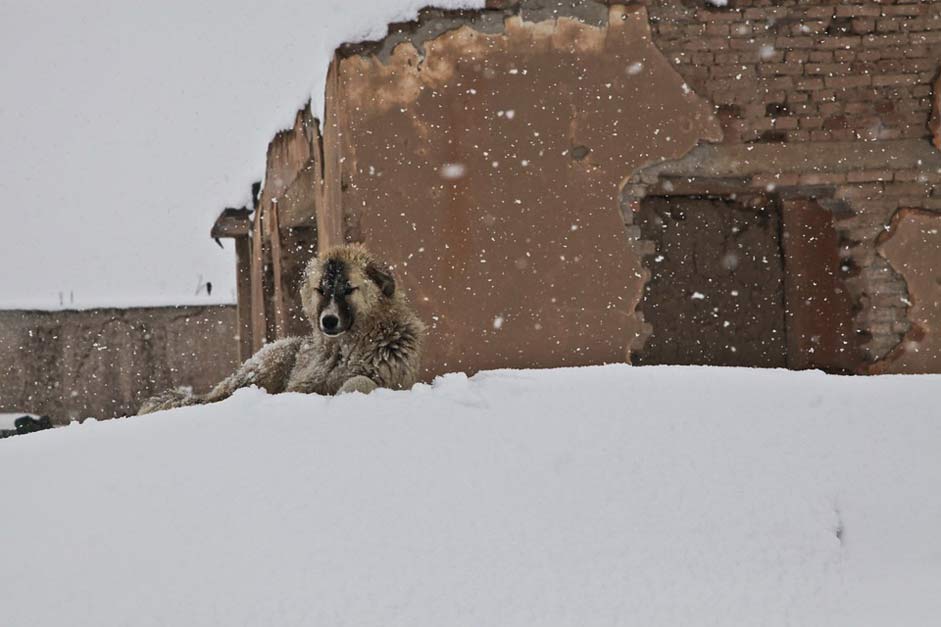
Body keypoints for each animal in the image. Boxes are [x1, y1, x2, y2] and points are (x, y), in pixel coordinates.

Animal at [138, 245, 424, 418]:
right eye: (321, 289)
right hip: (269, 361)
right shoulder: (299, 386)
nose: (328, 321)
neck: (343, 350)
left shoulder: (391, 379)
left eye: (348, 289)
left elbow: (360, 380)